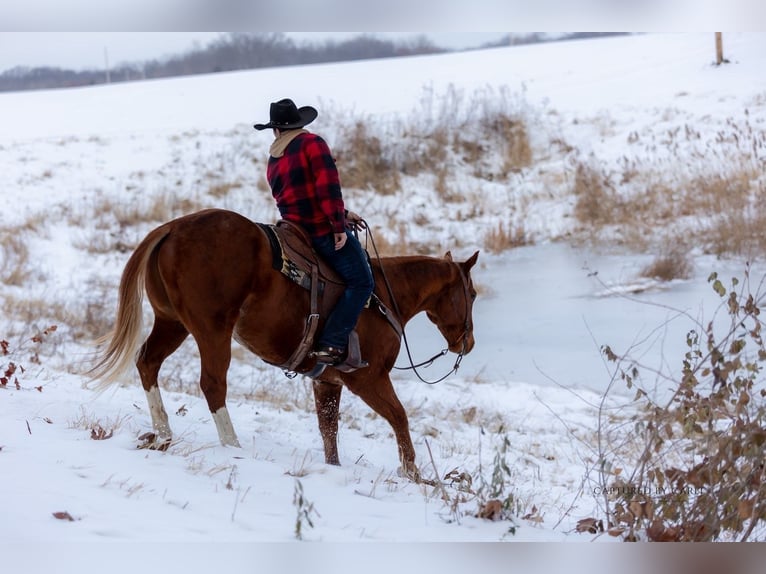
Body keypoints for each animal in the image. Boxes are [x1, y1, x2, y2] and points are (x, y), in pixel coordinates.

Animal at [89, 208, 478, 479]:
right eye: (472, 294)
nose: (468, 343)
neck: (383, 295)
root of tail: (172, 228)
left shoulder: (327, 382)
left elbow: (329, 432)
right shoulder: (369, 378)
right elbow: (399, 417)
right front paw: (412, 472)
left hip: (172, 323)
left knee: (148, 363)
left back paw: (163, 434)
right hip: (212, 330)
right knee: (213, 384)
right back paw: (232, 445)